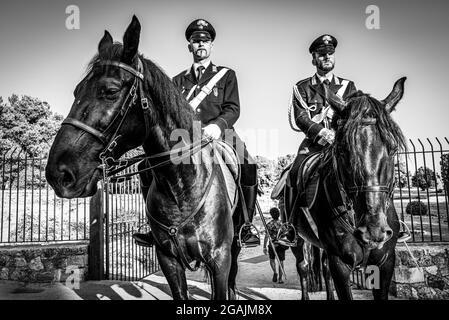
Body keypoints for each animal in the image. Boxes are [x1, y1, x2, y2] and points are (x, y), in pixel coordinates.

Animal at [46, 15, 256, 300]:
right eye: (77, 90)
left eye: (110, 91)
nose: (58, 173)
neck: (181, 187)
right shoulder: (168, 259)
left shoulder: (219, 258)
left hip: (233, 246)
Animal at [286, 78, 408, 300]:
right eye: (343, 149)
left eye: (393, 149)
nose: (373, 231)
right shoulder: (340, 263)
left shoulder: (385, 262)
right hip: (298, 240)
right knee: (304, 267)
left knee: (323, 269)